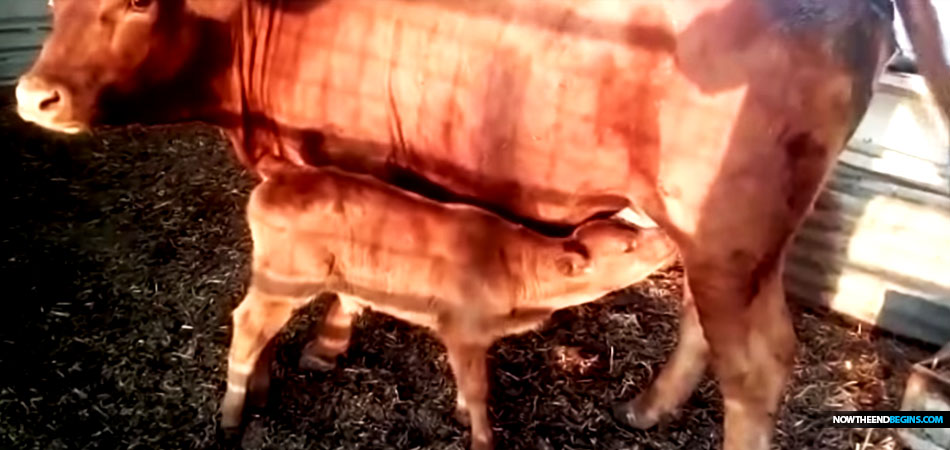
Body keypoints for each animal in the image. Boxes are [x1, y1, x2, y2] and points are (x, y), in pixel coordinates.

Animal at [14, 0, 950, 450]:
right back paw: (648, 410)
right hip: (729, 228)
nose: (34, 96)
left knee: (757, 366)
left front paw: (322, 346)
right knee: (709, 322)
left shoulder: (349, 155)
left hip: (728, 222)